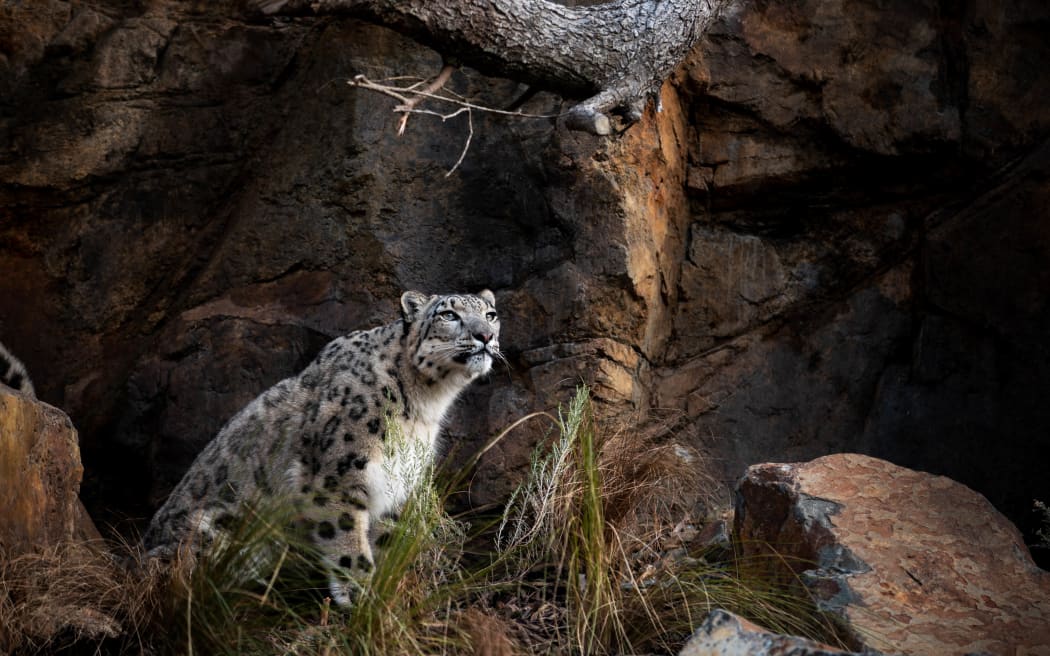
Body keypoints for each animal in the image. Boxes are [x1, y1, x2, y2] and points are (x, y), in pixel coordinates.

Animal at [143, 289, 499, 604]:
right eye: (449, 314)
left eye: (490, 315)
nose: (484, 335)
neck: (424, 406)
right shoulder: (335, 481)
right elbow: (349, 545)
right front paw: (362, 597)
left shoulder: (399, 485)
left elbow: (385, 541)